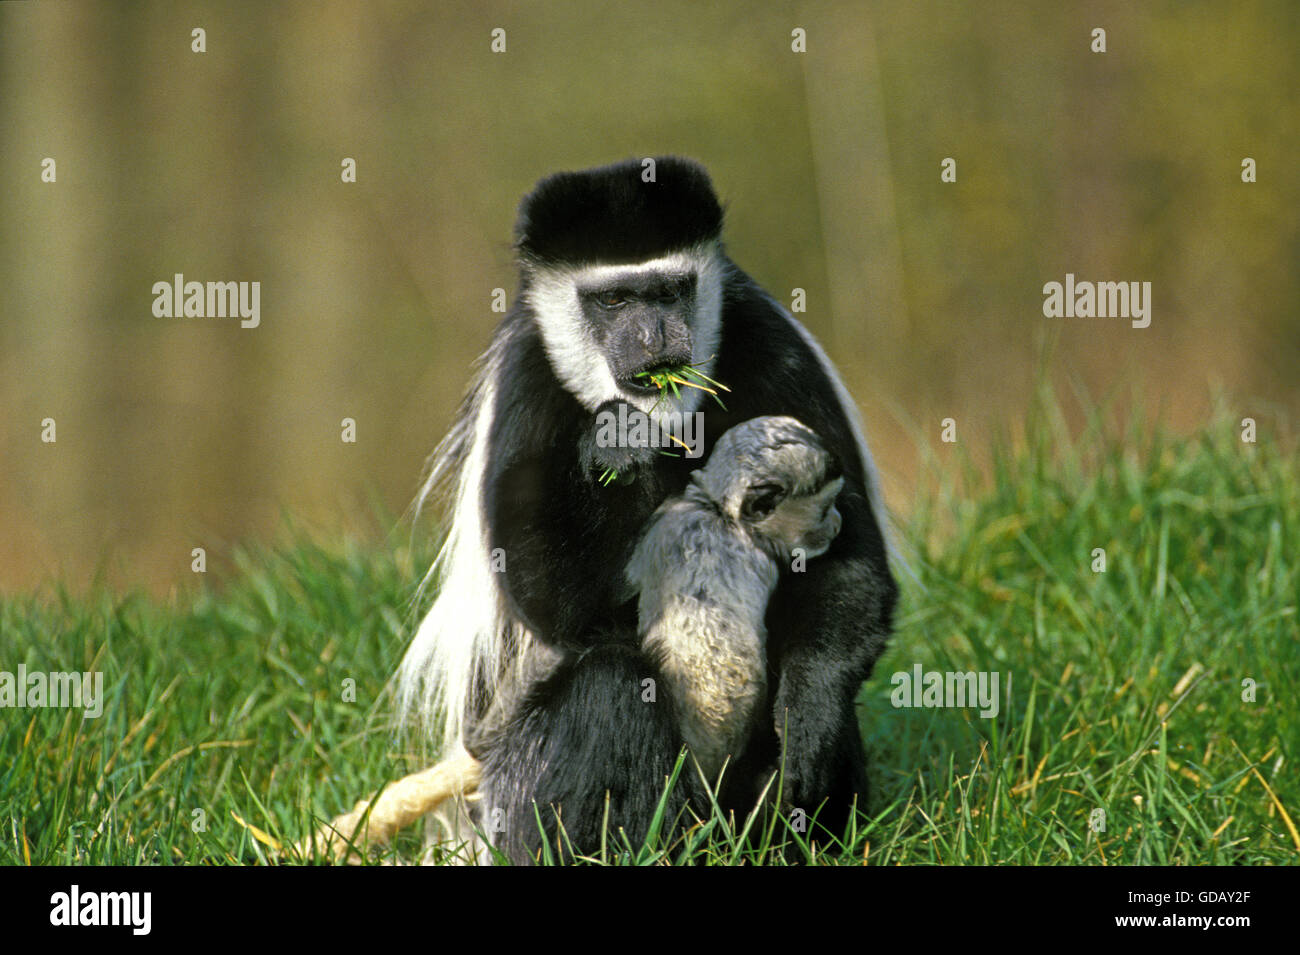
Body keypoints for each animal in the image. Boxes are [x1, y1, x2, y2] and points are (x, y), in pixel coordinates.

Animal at [397, 156, 897, 863]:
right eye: (613, 302)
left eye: (669, 292)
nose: (654, 337)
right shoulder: (524, 384)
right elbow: (551, 599)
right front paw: (617, 444)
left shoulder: (774, 339)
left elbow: (849, 562)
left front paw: (811, 717)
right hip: (513, 792)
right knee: (607, 685)